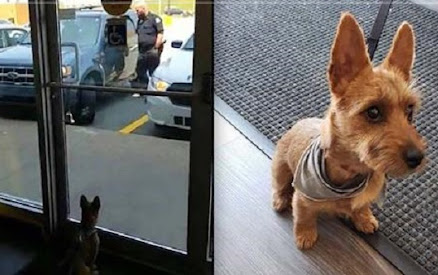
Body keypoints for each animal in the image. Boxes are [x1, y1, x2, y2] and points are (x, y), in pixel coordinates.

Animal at [272, 12, 426, 250]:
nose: (417, 158)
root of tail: (300, 122)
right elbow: (304, 217)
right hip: (280, 168)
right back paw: (280, 200)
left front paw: (364, 218)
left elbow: (361, 206)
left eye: (409, 111)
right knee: (280, 185)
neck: (351, 172)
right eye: (373, 112)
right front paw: (305, 235)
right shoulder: (303, 198)